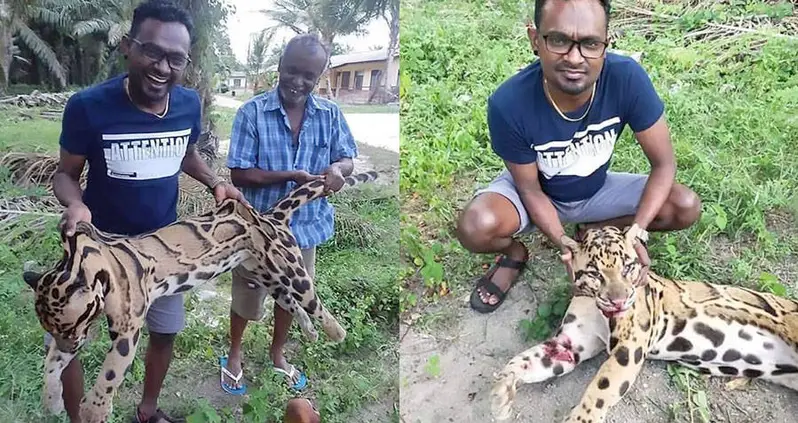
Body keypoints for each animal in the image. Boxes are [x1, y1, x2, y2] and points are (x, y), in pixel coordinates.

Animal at [22, 170, 379, 423]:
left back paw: (336, 332)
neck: (82, 262)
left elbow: (109, 373)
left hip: (291, 269)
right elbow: (52, 365)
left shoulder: (126, 330)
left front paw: (94, 409)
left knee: (311, 299)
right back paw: (310, 329)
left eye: (68, 327)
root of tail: (269, 216)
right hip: (266, 274)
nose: (70, 345)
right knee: (289, 301)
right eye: (54, 330)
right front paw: (51, 399)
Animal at [490, 224, 798, 422]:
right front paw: (501, 391)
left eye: (628, 266)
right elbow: (523, 361)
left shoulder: (628, 346)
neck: (594, 304)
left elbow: (599, 390)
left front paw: (580, 418)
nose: (618, 300)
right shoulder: (569, 345)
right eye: (595, 273)